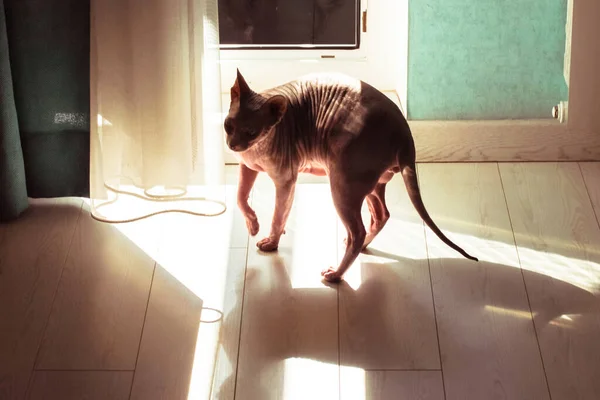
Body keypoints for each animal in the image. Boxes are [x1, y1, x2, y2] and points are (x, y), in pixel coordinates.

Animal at [225, 69, 478, 282]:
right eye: (229, 125)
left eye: (252, 132)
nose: (232, 145)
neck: (256, 149)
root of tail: (405, 133)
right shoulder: (247, 167)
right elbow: (239, 197)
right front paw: (253, 224)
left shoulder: (286, 178)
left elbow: (279, 214)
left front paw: (271, 241)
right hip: (370, 184)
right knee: (381, 215)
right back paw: (362, 245)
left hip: (342, 182)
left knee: (358, 230)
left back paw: (336, 273)